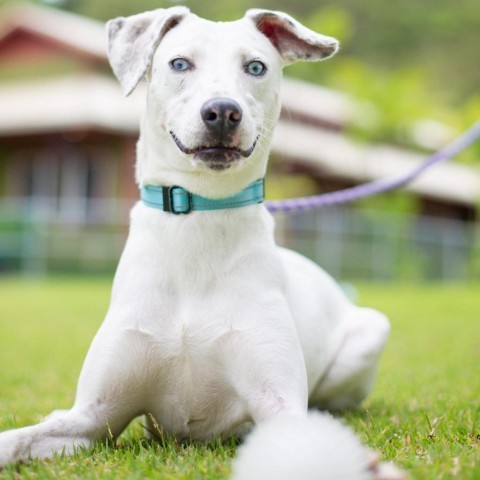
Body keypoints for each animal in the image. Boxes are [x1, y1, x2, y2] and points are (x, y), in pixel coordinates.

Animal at [0, 6, 404, 476]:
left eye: (255, 67)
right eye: (179, 63)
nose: (223, 112)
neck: (197, 218)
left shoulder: (278, 402)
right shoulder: (92, 416)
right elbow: (22, 438)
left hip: (371, 333)